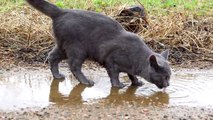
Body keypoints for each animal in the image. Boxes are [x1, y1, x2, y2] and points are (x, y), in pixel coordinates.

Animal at [26, 0, 171, 88]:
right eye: (165, 76)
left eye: (169, 77)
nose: (168, 84)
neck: (137, 58)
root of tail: (61, 11)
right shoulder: (111, 61)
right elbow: (114, 75)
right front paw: (118, 85)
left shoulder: (130, 68)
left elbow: (131, 74)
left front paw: (136, 82)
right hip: (77, 49)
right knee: (74, 66)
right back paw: (86, 82)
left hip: (63, 46)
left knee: (52, 56)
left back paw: (57, 76)